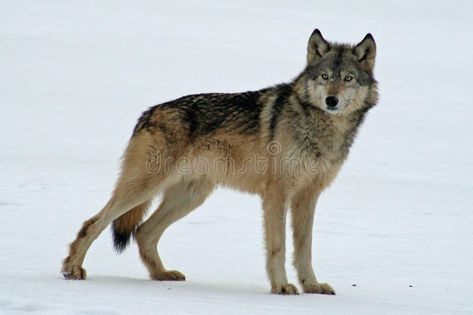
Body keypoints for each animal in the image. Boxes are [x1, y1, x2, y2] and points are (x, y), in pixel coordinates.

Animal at [62, 29, 378, 296]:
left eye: (348, 79)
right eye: (324, 76)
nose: (331, 100)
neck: (320, 127)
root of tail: (147, 113)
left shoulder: (308, 196)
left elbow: (304, 249)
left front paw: (311, 286)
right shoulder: (276, 195)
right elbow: (278, 247)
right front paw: (281, 286)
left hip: (191, 196)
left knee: (144, 231)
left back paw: (162, 274)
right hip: (142, 188)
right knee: (94, 223)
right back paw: (73, 268)